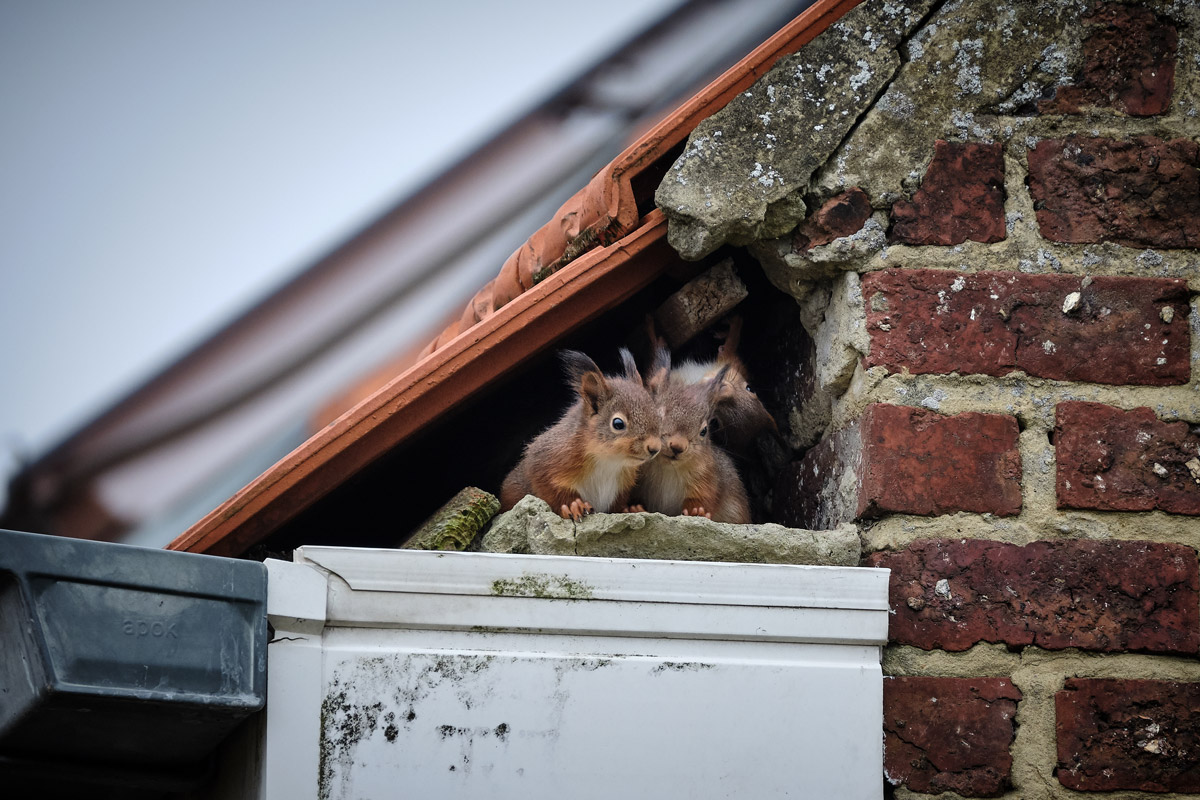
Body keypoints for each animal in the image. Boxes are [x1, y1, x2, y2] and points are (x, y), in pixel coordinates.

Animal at [499, 347, 667, 522]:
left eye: (658, 415)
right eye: (618, 424)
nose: (655, 448)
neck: (609, 461)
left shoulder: (622, 485)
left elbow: (617, 506)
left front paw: (630, 509)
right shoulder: (546, 460)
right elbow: (548, 489)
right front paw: (573, 505)